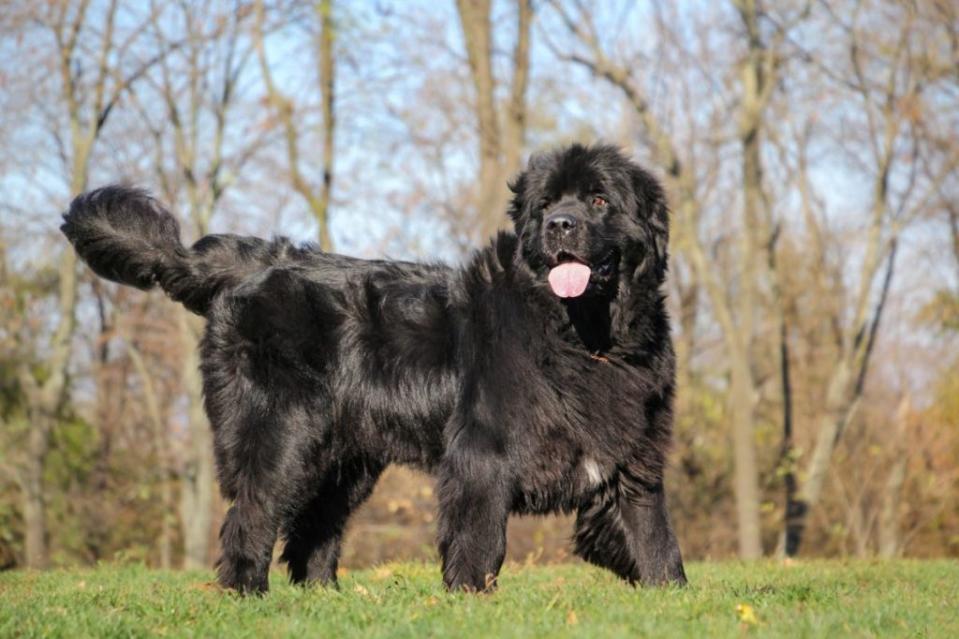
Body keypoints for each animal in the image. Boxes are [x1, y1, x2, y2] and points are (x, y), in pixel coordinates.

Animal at [60, 145, 688, 596]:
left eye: (600, 201)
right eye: (546, 204)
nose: (560, 224)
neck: (585, 337)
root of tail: (251, 265)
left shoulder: (633, 453)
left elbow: (654, 535)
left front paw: (670, 597)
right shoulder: (481, 452)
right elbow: (480, 538)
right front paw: (471, 601)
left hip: (345, 460)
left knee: (313, 530)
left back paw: (325, 600)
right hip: (282, 432)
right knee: (253, 512)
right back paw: (246, 596)